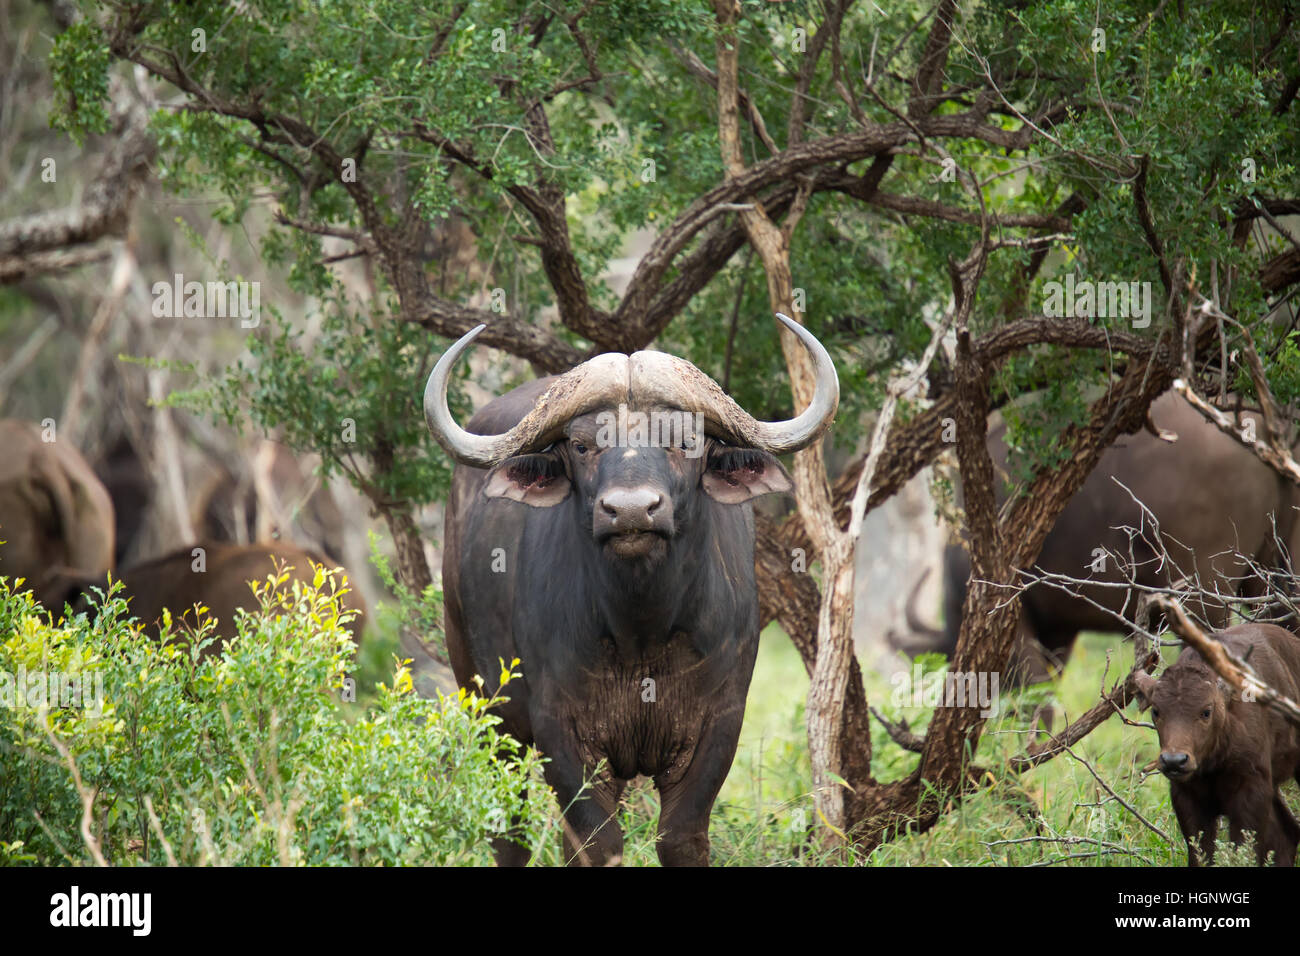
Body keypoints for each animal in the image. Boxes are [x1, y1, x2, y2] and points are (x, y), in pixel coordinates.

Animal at [423, 314, 832, 868]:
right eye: (581, 445)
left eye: (686, 442)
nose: (633, 510)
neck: (642, 631)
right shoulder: (559, 730)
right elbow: (597, 842)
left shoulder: (720, 723)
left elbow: (679, 836)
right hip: (486, 704)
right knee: (510, 831)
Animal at [1133, 624, 1300, 868]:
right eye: (1156, 710)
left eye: (1206, 711)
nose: (1174, 761)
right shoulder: (1186, 796)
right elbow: (1200, 853)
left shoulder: (1252, 789)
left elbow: (1244, 850)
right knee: (1287, 833)